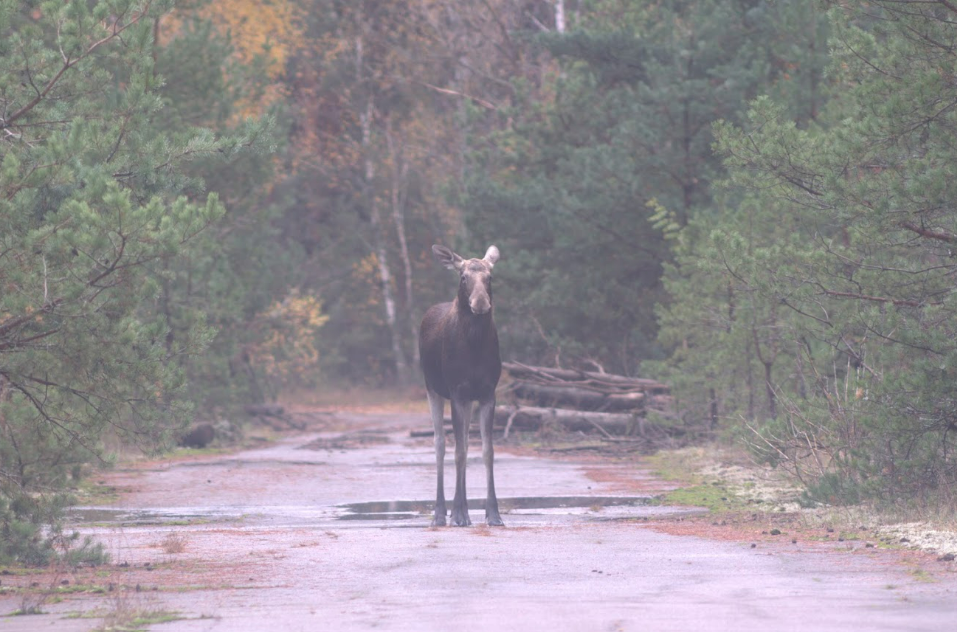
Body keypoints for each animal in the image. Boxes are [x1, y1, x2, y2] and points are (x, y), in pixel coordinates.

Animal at [419, 244, 503, 527]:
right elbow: (458, 451)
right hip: (432, 388)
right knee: (440, 444)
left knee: (464, 441)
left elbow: (486, 451)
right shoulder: (456, 391)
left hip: (467, 399)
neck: (475, 347)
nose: (480, 303)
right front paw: (457, 512)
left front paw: (493, 513)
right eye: (463, 276)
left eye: (489, 277)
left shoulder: (487, 392)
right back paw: (440, 512)